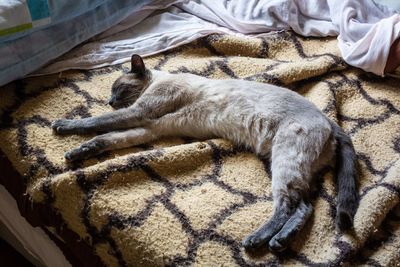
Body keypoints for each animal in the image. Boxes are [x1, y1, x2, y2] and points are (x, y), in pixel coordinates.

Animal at [51, 55, 358, 253]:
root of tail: (329, 119)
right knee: (306, 206)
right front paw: (76, 153)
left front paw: (61, 126)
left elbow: (95, 123)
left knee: (287, 205)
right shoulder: (148, 129)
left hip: (284, 163)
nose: (110, 101)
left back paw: (257, 242)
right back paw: (279, 242)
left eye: (119, 88)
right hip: (289, 166)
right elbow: (104, 139)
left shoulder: (139, 114)